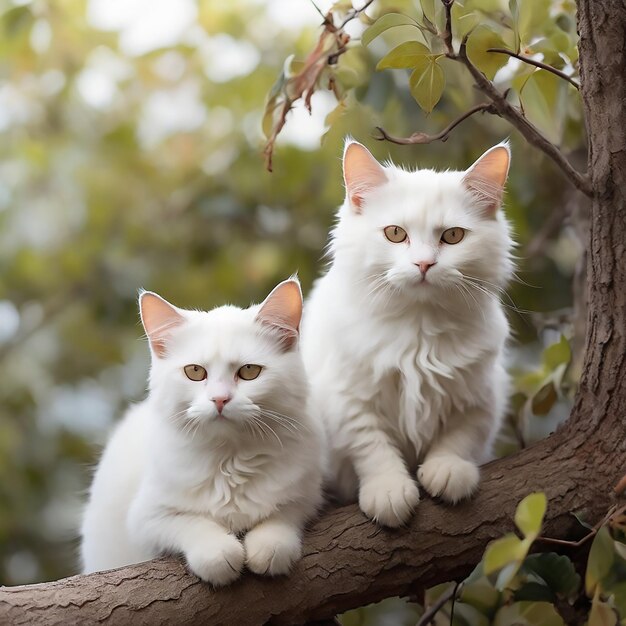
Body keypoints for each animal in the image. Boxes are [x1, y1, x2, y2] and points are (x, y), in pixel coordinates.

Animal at [81, 278, 324, 584]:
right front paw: (220, 554)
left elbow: (281, 517)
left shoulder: (306, 496)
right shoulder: (145, 518)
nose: (220, 399)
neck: (230, 462)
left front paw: (269, 548)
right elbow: (191, 523)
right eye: (195, 372)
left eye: (249, 371)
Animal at [302, 139, 512, 524]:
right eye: (395, 234)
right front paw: (388, 491)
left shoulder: (481, 395)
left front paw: (447, 471)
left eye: (453, 236)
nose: (424, 264)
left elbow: (461, 437)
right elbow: (372, 448)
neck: (419, 331)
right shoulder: (347, 398)